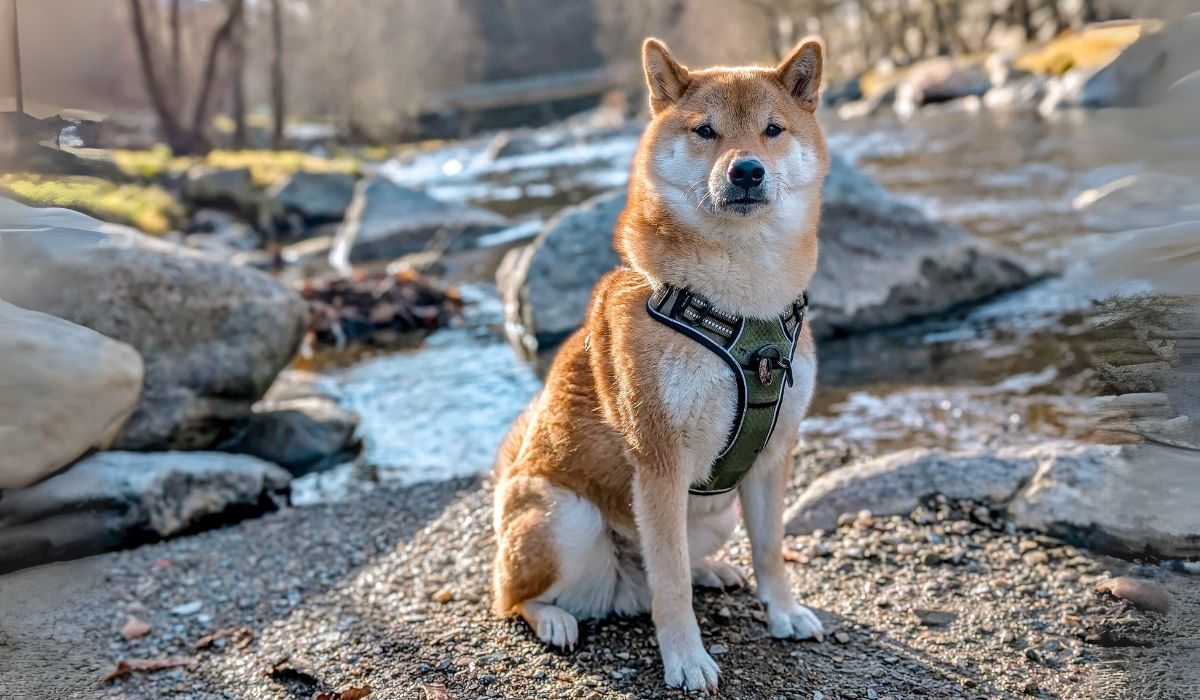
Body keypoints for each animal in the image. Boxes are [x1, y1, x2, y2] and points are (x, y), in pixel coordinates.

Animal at [492, 36, 830, 691]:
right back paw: (554, 620)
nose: (746, 170)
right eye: (706, 130)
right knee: (515, 597)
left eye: (773, 130)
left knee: (676, 562)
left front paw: (783, 611)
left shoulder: (774, 454)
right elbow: (669, 585)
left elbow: (770, 550)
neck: (739, 306)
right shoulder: (660, 462)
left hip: (716, 514)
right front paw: (686, 659)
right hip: (564, 518)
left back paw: (713, 571)